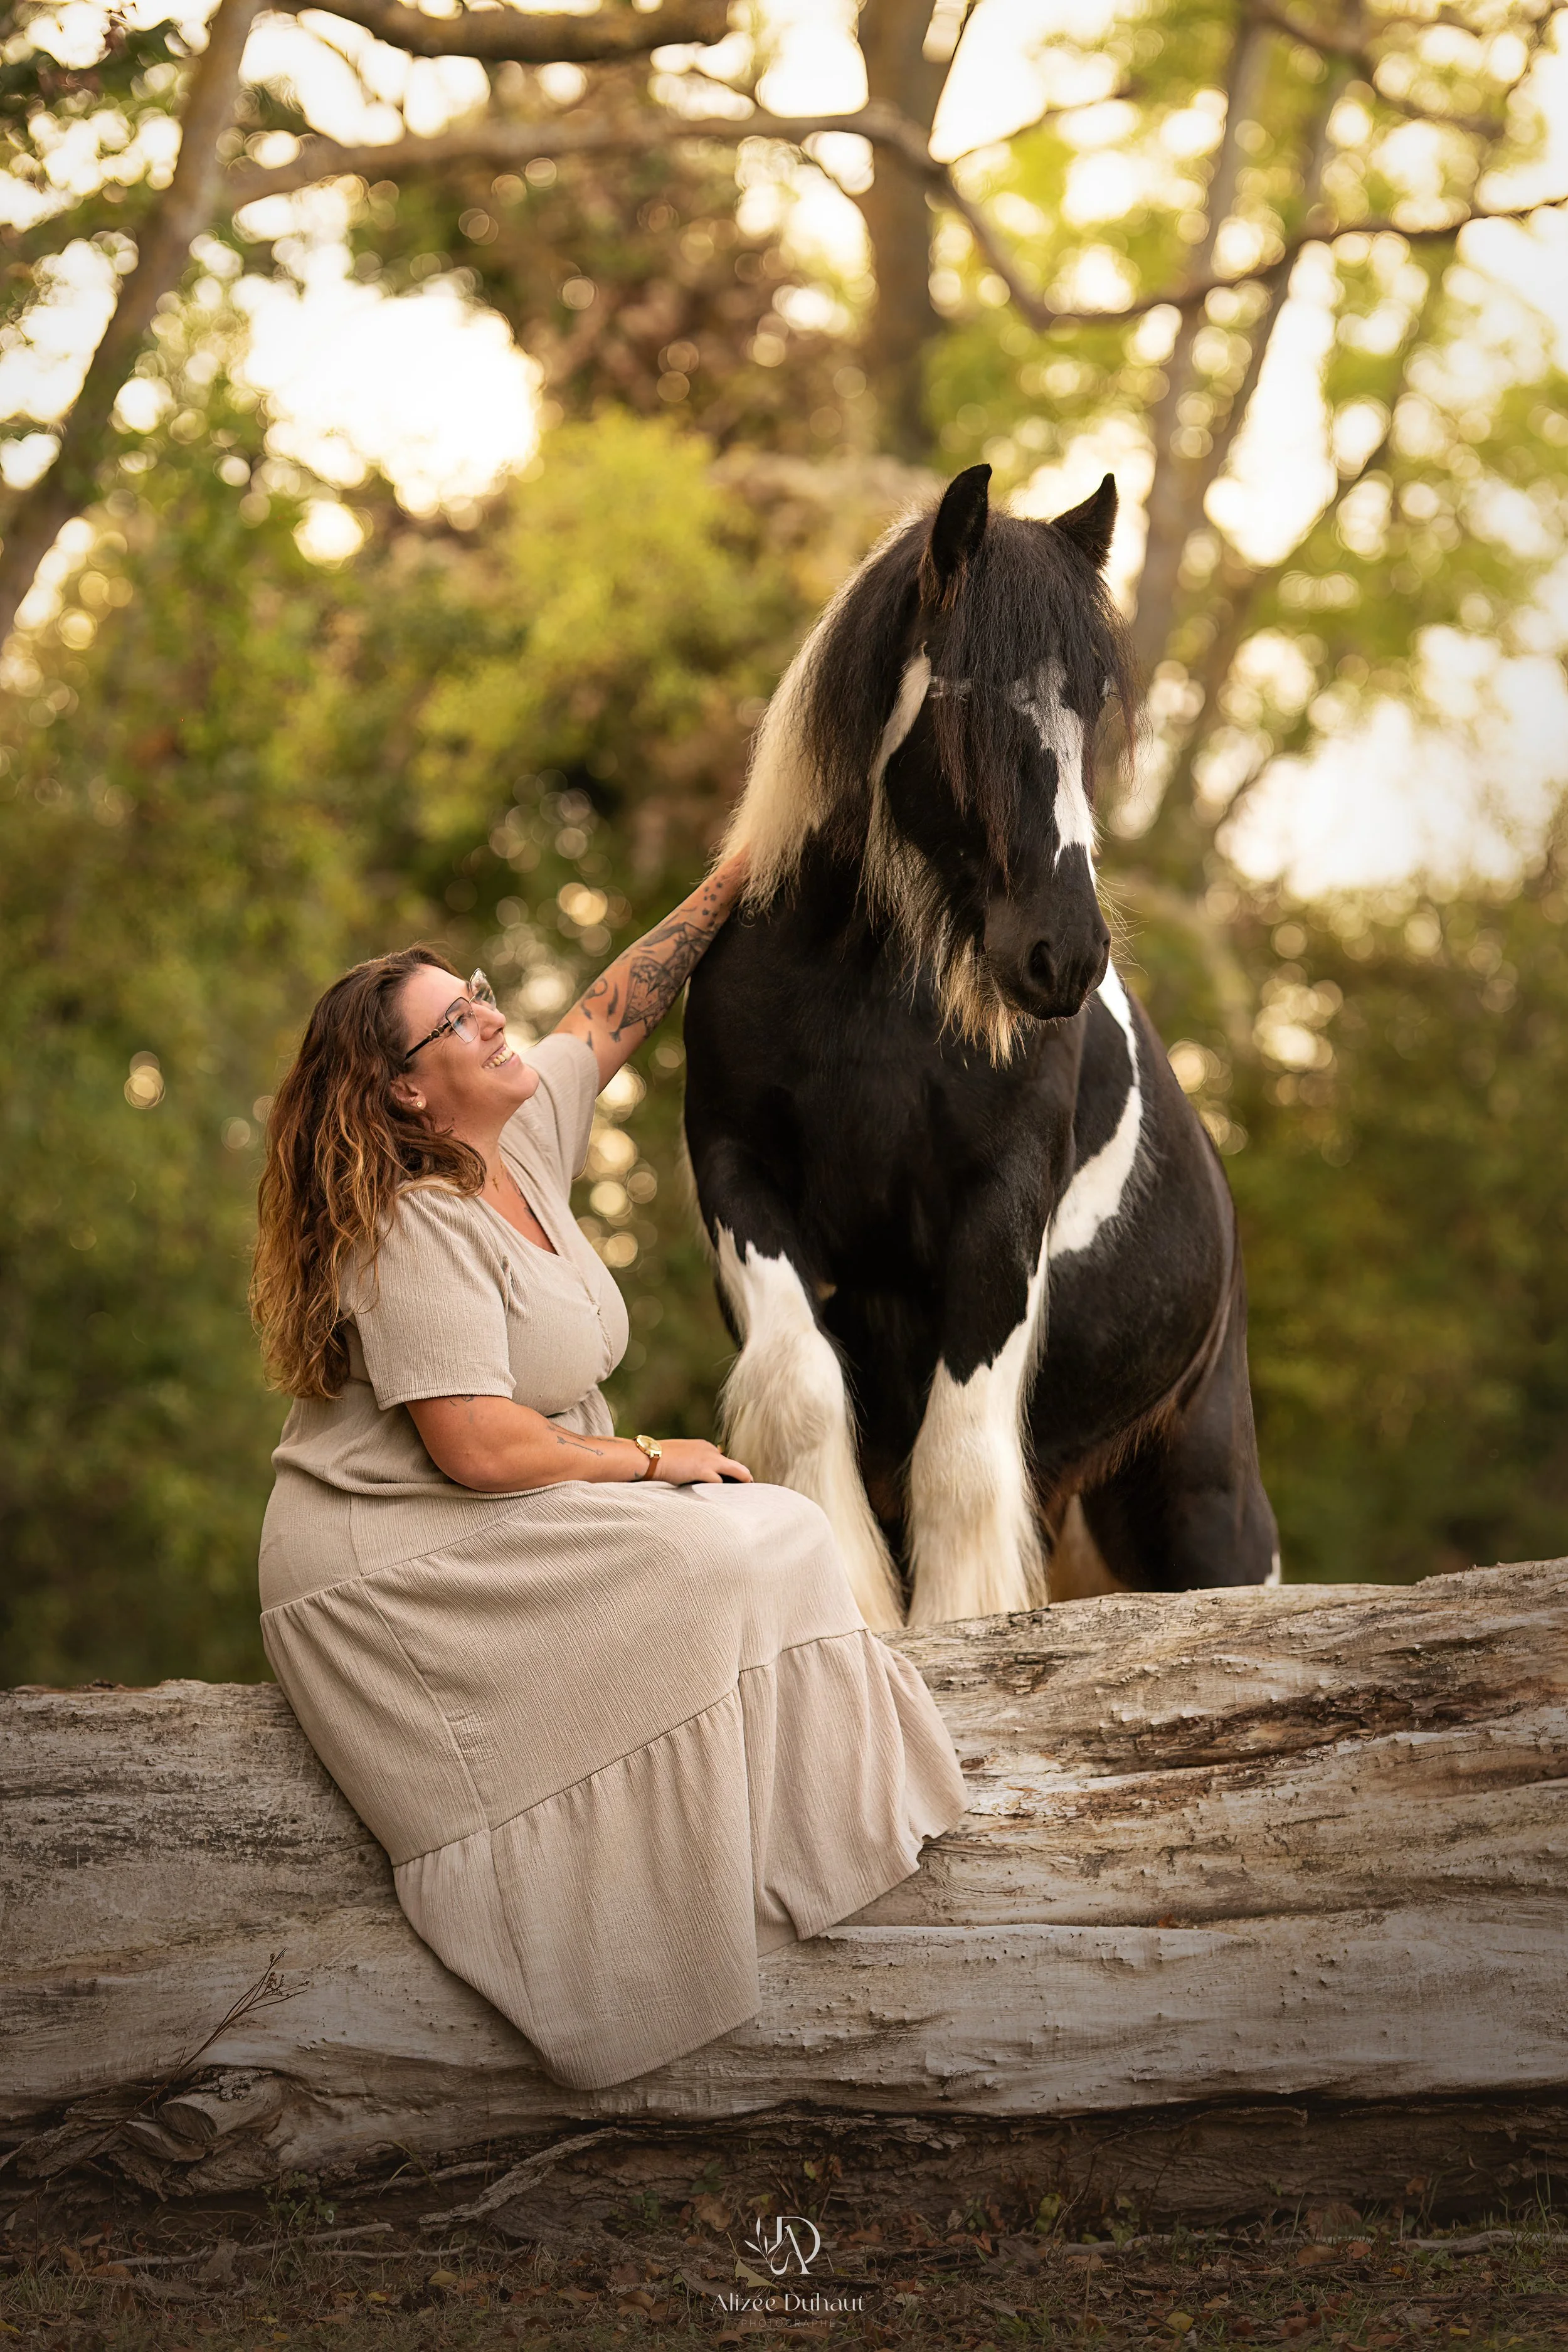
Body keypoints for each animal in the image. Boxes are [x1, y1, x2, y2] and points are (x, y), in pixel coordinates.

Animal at [681, 462, 1279, 1629]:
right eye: (965, 695)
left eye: (1091, 701)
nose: (1066, 953)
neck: (863, 993)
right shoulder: (739, 1179)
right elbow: (804, 1392)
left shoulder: (998, 1213)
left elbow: (959, 1460)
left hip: (1205, 1501)